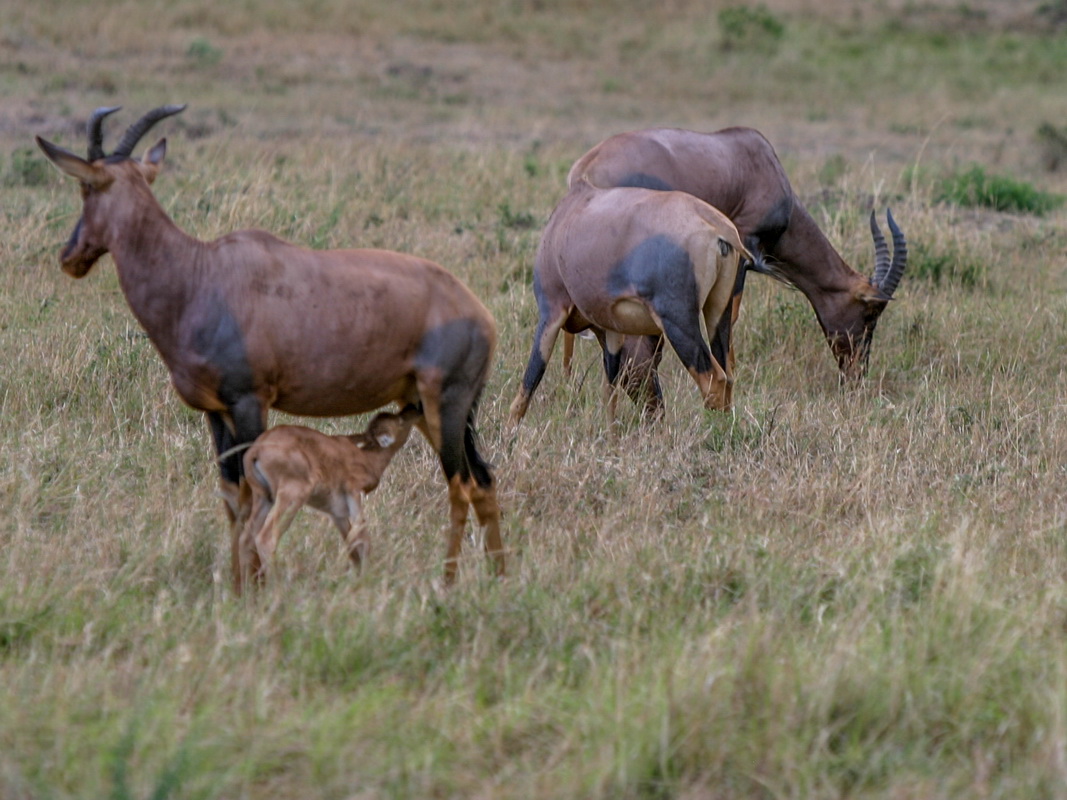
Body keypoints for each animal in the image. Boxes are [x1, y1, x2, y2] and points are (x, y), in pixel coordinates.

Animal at [237, 403, 420, 584]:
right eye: (400, 421)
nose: (413, 408)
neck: (364, 456)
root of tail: (256, 451)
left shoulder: (337, 513)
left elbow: (352, 544)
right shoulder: (354, 493)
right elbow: (363, 538)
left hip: (264, 498)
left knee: (246, 539)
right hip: (292, 496)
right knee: (266, 538)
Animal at [507, 176, 751, 426]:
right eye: (653, 363)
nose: (656, 413)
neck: (570, 212)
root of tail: (717, 225)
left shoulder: (552, 311)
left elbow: (531, 376)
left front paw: (510, 431)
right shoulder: (611, 328)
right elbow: (610, 387)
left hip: (676, 320)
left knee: (714, 379)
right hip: (718, 311)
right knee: (728, 372)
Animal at [559, 125, 909, 420]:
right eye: (870, 314)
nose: (856, 378)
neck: (759, 159)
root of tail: (583, 172)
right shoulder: (742, 246)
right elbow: (730, 317)